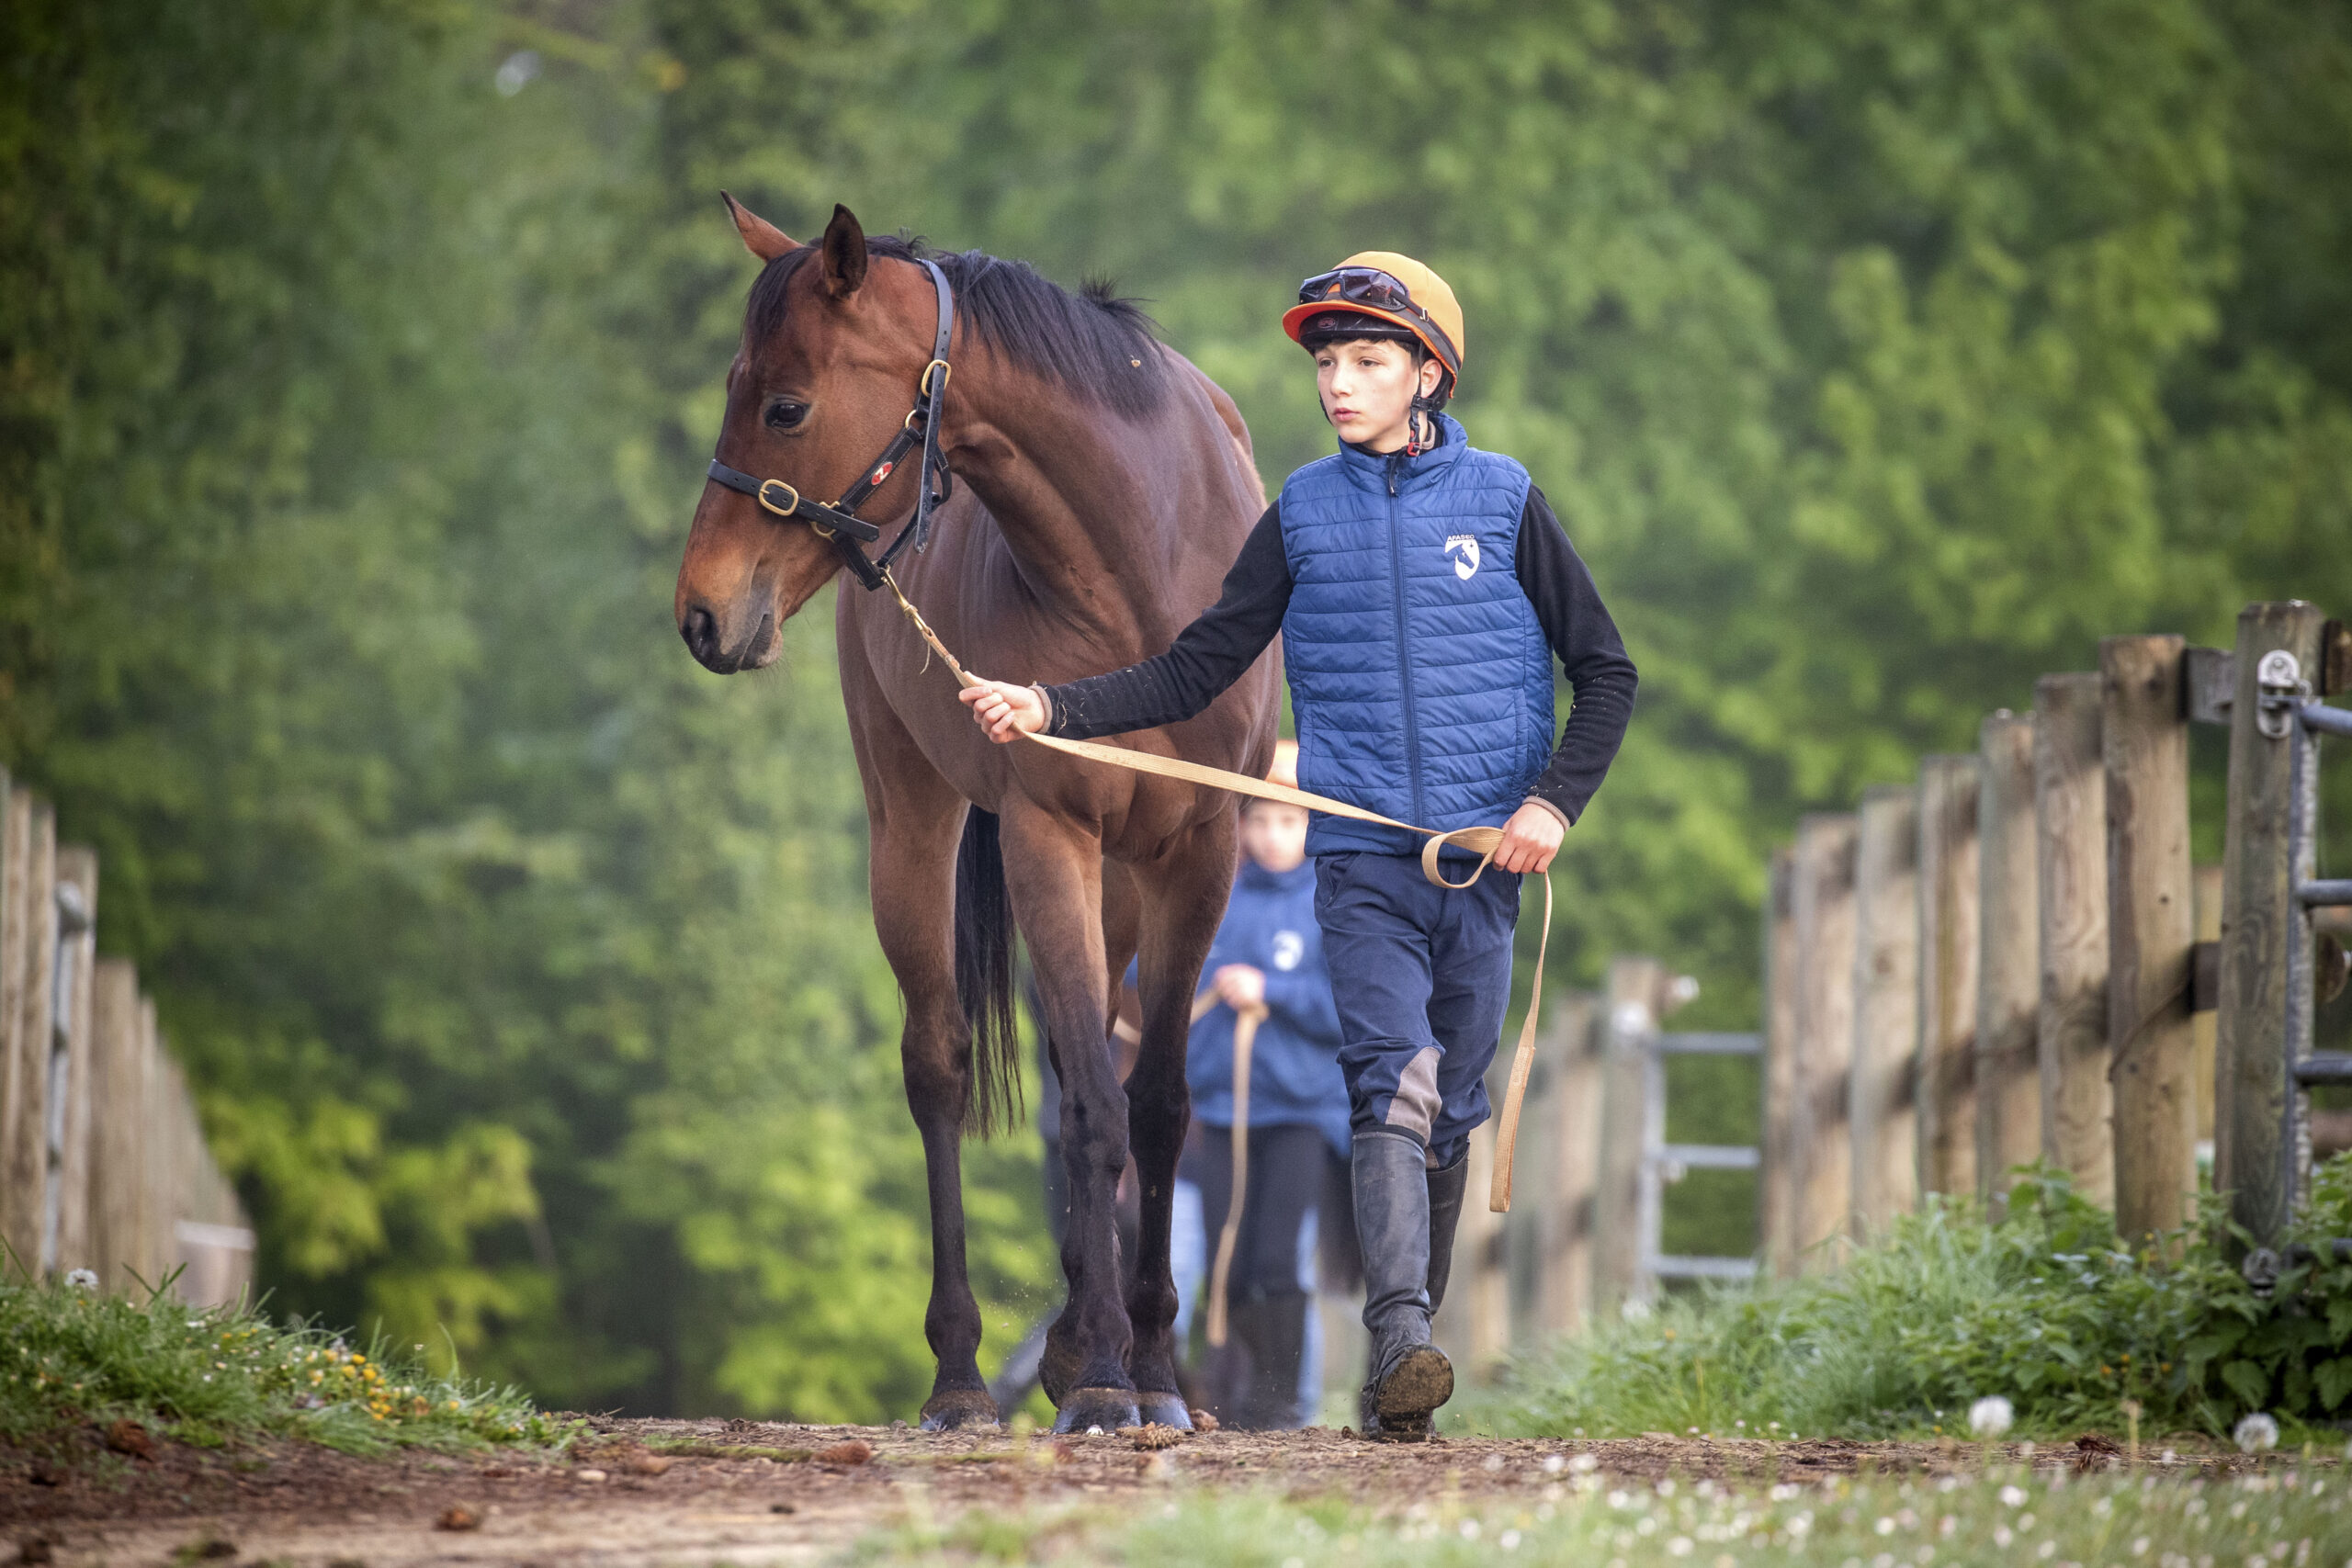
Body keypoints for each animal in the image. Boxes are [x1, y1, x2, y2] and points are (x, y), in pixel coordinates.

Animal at [674, 199, 1277, 1434]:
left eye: (786, 404)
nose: (700, 613)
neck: (1141, 565)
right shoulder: (1051, 835)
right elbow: (1092, 1110)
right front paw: (1103, 1376)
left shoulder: (1198, 854)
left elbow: (1153, 1107)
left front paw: (1148, 1369)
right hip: (913, 832)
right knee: (941, 1068)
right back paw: (962, 1372)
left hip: (1122, 887)